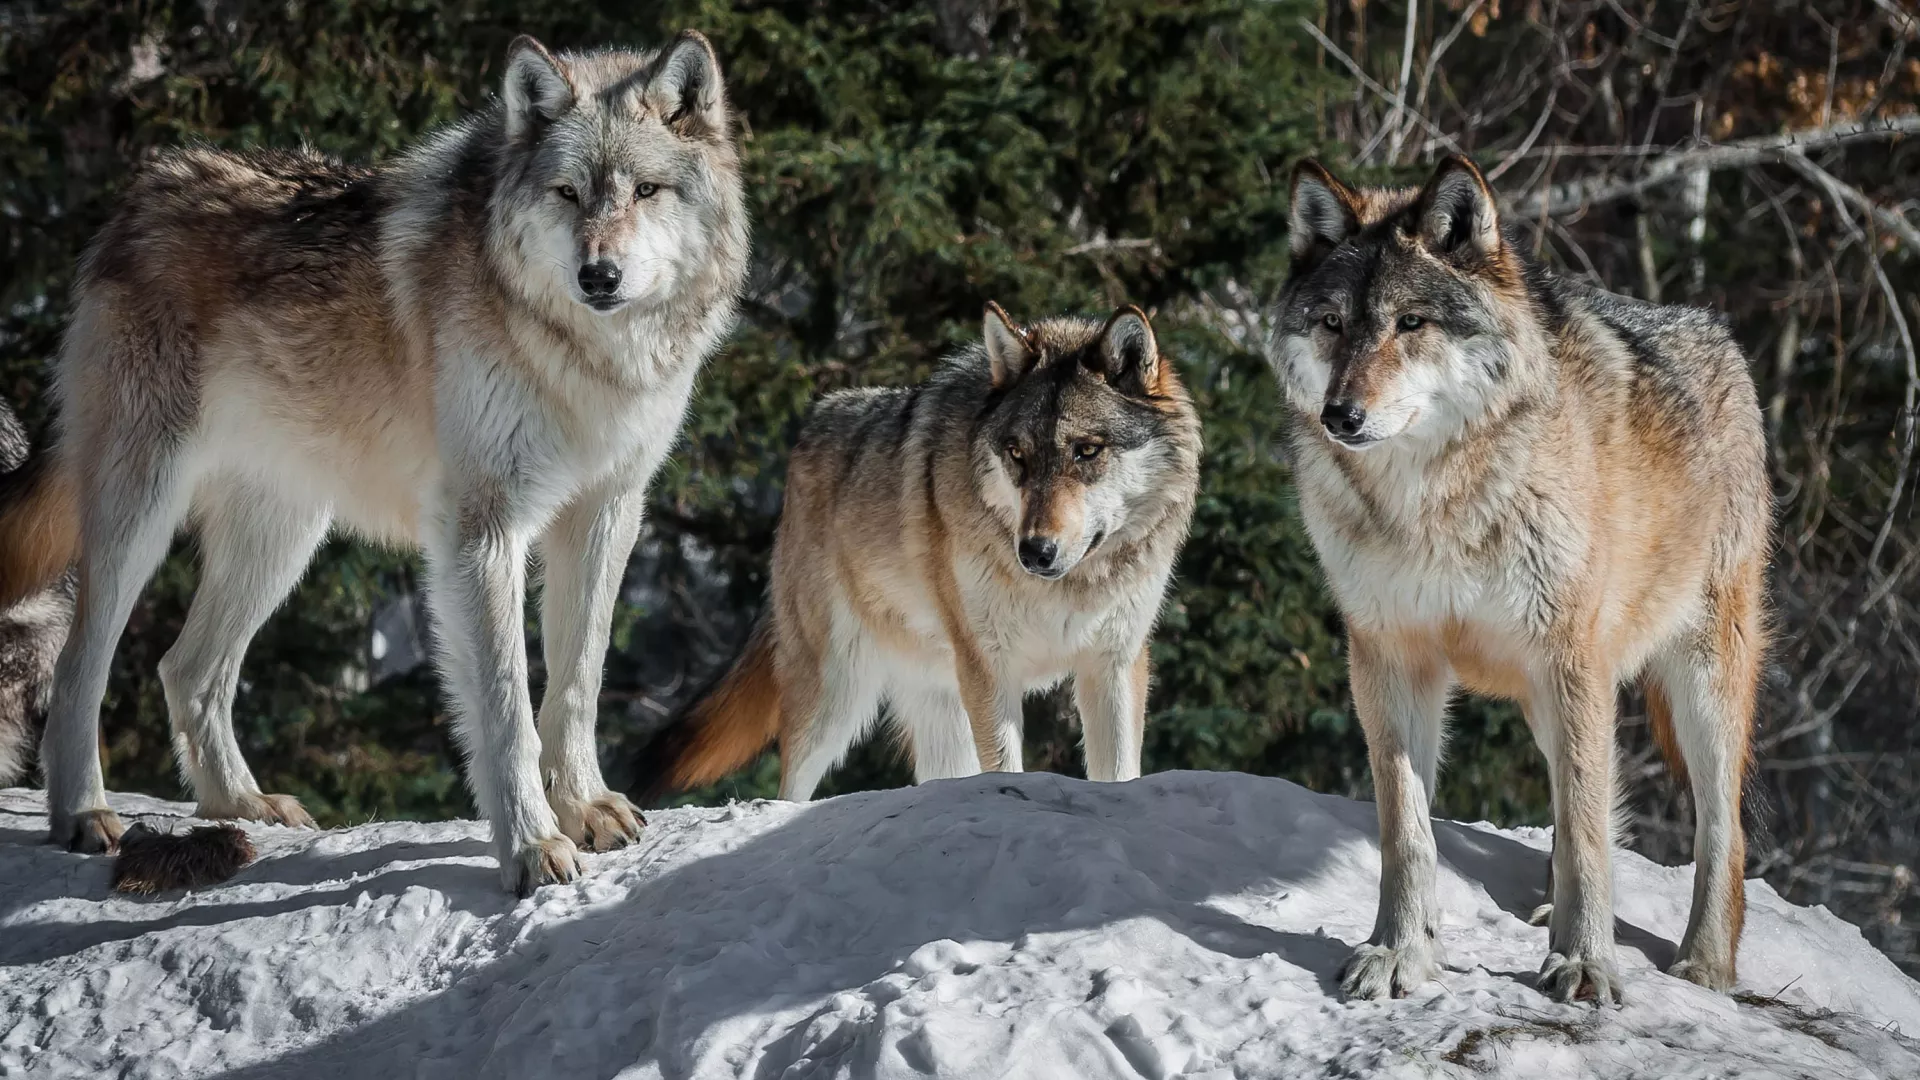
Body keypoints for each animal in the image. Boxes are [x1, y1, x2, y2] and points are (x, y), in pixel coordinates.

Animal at [0, 32, 749, 894]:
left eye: (646, 191)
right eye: (566, 193)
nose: (599, 275)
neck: (585, 358)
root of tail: (138, 196)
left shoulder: (607, 512)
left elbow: (578, 684)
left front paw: (586, 809)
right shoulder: (482, 526)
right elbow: (505, 705)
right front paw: (531, 847)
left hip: (283, 540)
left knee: (184, 668)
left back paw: (243, 805)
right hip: (142, 516)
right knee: (80, 667)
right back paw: (84, 814)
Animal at [634, 304, 1202, 802]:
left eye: (1087, 451)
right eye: (1017, 454)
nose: (1035, 552)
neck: (1068, 589)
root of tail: (812, 422)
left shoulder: (1114, 662)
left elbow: (1119, 773)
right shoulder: (990, 667)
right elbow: (1005, 765)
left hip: (934, 703)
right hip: (835, 696)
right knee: (790, 787)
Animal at [1270, 156, 1768, 1004]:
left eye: (1411, 323)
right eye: (1333, 323)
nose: (1342, 415)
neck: (1433, 504)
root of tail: (1717, 331)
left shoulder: (1572, 658)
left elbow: (1591, 832)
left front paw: (1587, 964)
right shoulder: (1389, 657)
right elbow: (1407, 833)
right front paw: (1398, 952)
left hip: (1693, 680)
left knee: (1717, 831)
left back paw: (1704, 964)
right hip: (1544, 697)